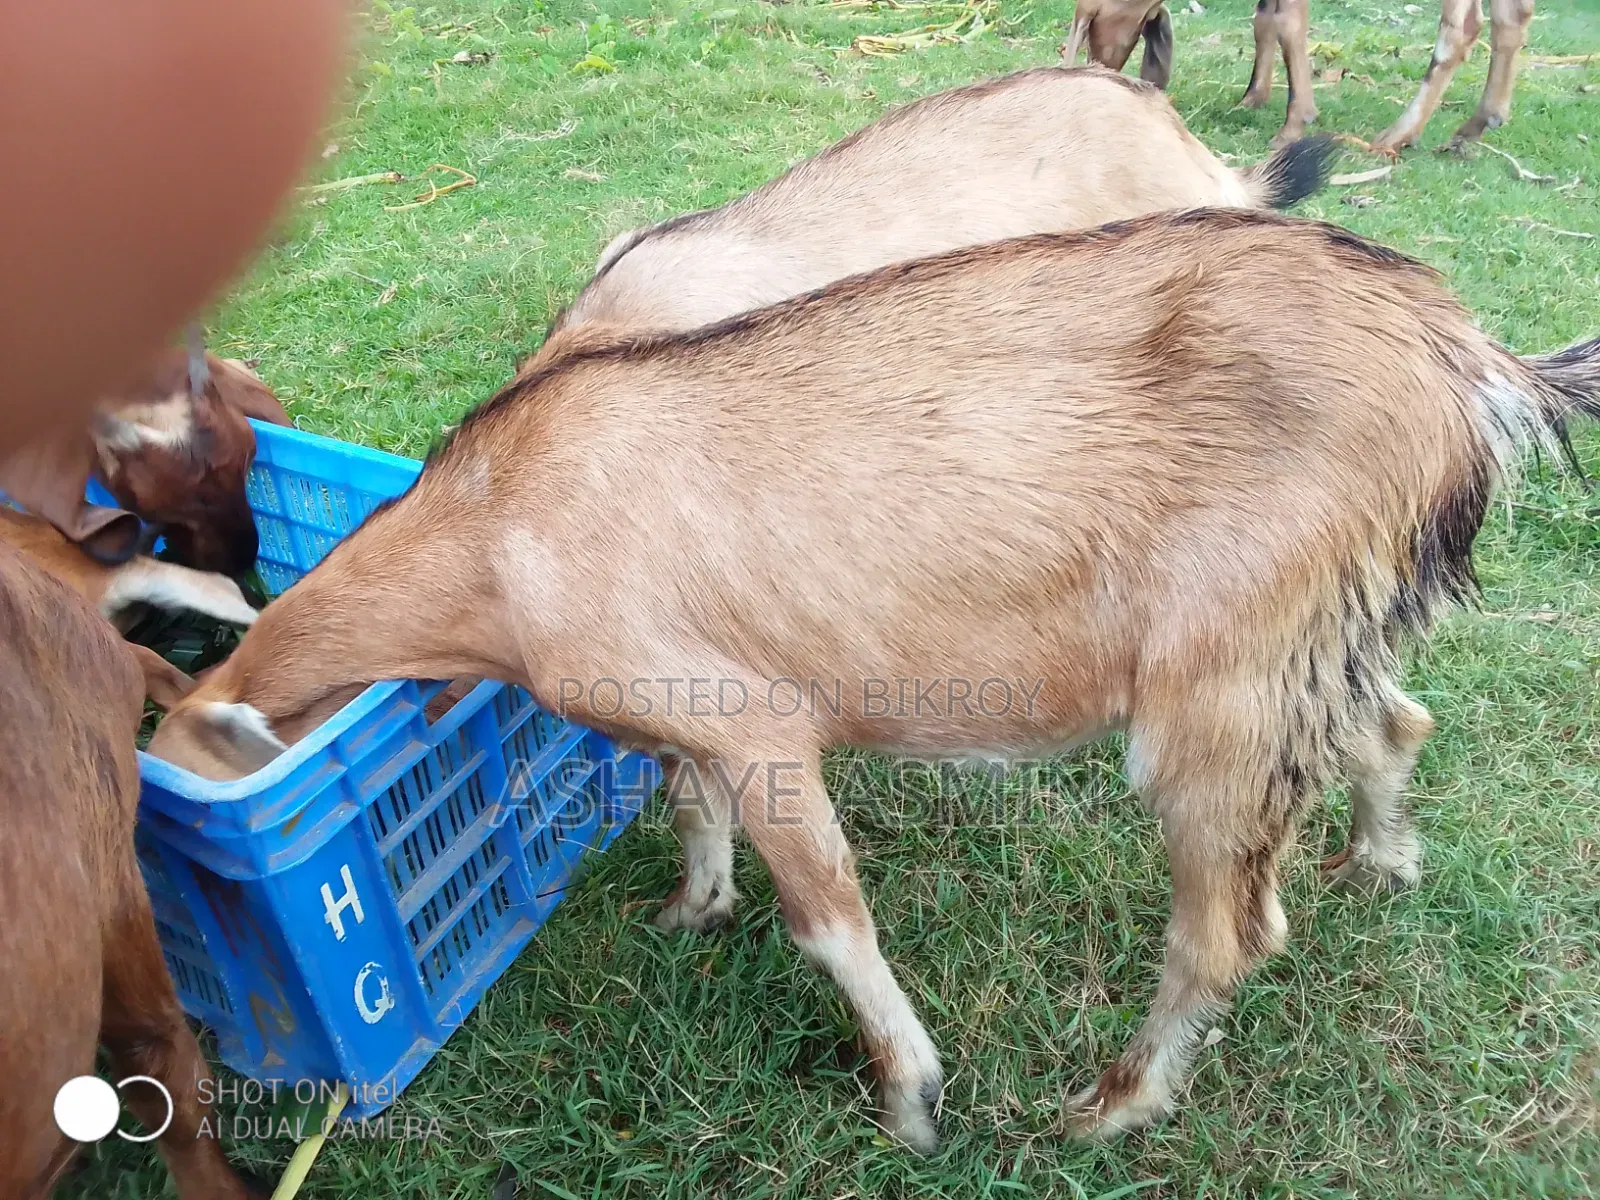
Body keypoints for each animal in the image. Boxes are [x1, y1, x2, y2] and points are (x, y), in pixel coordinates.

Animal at [147, 210, 1600, 1149]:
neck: (494, 535)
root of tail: (1465, 360)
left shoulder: (758, 721)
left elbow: (828, 915)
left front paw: (910, 1099)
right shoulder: (677, 719)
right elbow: (687, 804)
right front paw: (692, 906)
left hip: (1221, 677)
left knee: (1229, 927)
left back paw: (1111, 1107)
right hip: (1322, 636)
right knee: (1398, 720)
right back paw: (1382, 863)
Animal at [1063, 0, 1538, 151]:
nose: (1104, 69)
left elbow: (1287, 21)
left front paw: (1295, 121)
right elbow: (1264, 19)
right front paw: (1252, 96)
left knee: (1462, 27)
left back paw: (1398, 134)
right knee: (1512, 14)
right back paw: (1479, 122)